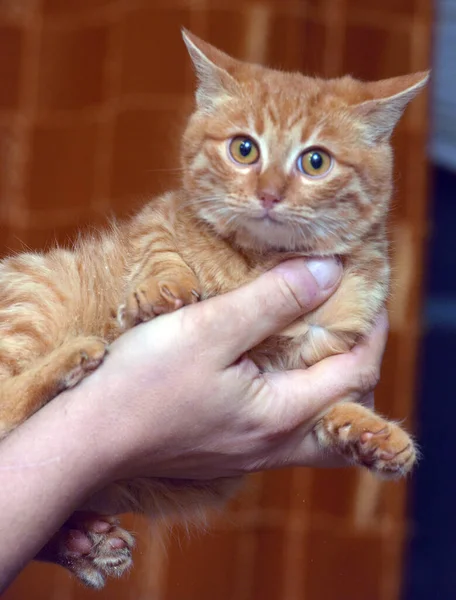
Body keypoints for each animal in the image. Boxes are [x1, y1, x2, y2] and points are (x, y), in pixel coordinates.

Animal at [0, 30, 428, 588]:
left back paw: (86, 543)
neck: (264, 261)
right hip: (35, 292)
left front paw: (369, 432)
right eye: (244, 149)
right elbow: (159, 247)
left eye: (315, 162)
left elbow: (328, 402)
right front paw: (162, 287)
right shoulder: (157, 217)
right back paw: (72, 359)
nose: (268, 194)